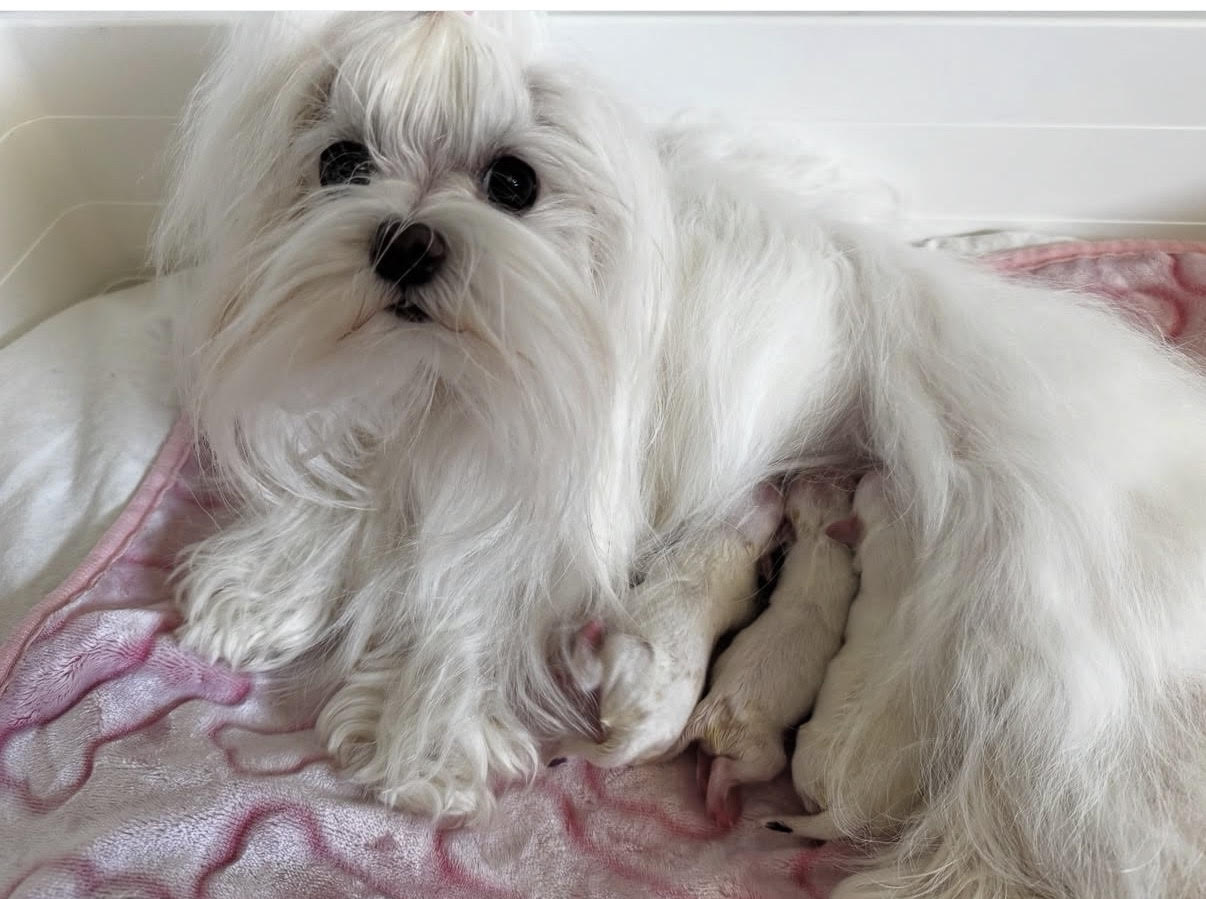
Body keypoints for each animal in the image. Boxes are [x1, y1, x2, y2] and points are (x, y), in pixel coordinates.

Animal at [155, 12, 1206, 897]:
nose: (406, 243)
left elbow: (467, 600)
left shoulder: (544, 497)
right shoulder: (375, 419)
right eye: (342, 160)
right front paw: (258, 592)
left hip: (1048, 682)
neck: (450, 382)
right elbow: (333, 502)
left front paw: (427, 742)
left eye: (512, 183)